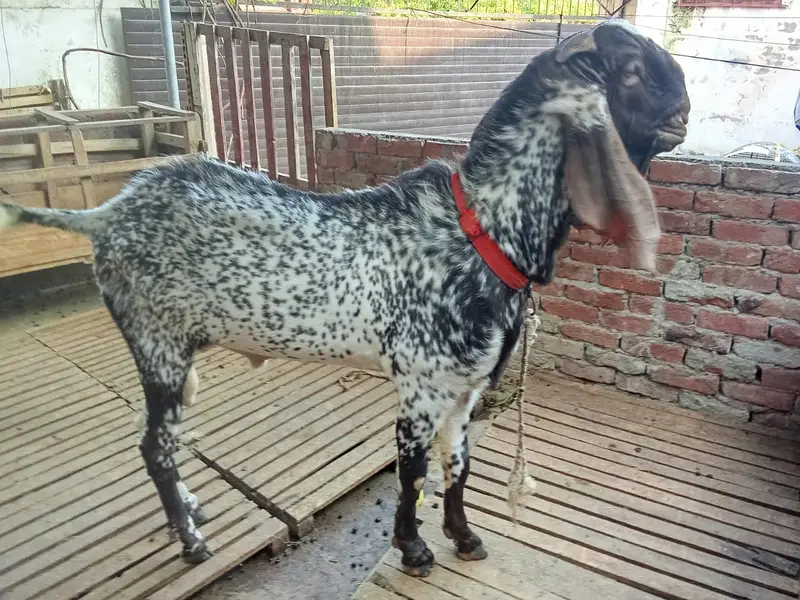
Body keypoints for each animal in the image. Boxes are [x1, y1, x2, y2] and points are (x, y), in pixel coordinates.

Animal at [0, 19, 689, 577]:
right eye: (631, 71)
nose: (683, 105)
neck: (482, 230)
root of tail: (104, 215)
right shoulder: (421, 382)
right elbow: (412, 472)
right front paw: (414, 551)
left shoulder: (463, 389)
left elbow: (459, 466)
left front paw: (465, 539)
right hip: (158, 344)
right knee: (154, 445)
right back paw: (192, 542)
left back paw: (192, 513)